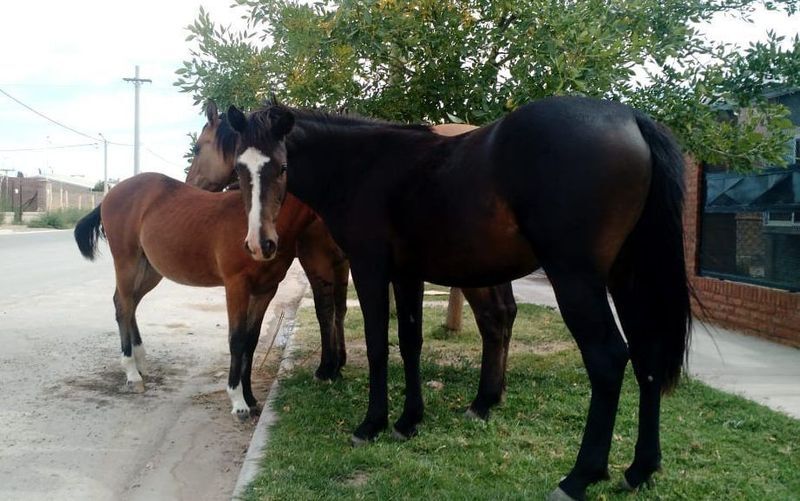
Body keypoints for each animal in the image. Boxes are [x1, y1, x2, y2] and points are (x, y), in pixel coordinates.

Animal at [189, 103, 520, 420]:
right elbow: (339, 309)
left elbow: (325, 310)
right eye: (239, 167)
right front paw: (338, 363)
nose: (191, 185)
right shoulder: (342, 262)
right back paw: (498, 391)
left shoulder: (320, 259)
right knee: (506, 312)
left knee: (492, 317)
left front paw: (327, 367)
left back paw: (483, 401)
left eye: (197, 148)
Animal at [223, 94, 688, 500]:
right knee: (646, 357)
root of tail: (631, 118)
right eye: (241, 170)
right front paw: (408, 421)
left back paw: (579, 477)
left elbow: (378, 345)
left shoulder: (371, 270)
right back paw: (639, 469)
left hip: (576, 279)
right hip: (627, 277)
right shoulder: (406, 274)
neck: (361, 166)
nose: (259, 243)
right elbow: (409, 342)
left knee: (608, 359)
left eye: (282, 166)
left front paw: (372, 425)